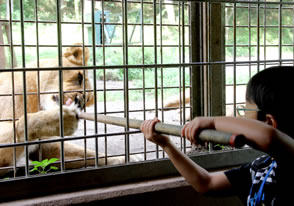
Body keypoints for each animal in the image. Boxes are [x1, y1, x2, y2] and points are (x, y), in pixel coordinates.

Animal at [0, 43, 138, 175]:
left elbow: (87, 153)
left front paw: (126, 158)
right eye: (79, 77)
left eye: (86, 99)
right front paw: (61, 119)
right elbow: (25, 122)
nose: (80, 98)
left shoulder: (45, 145)